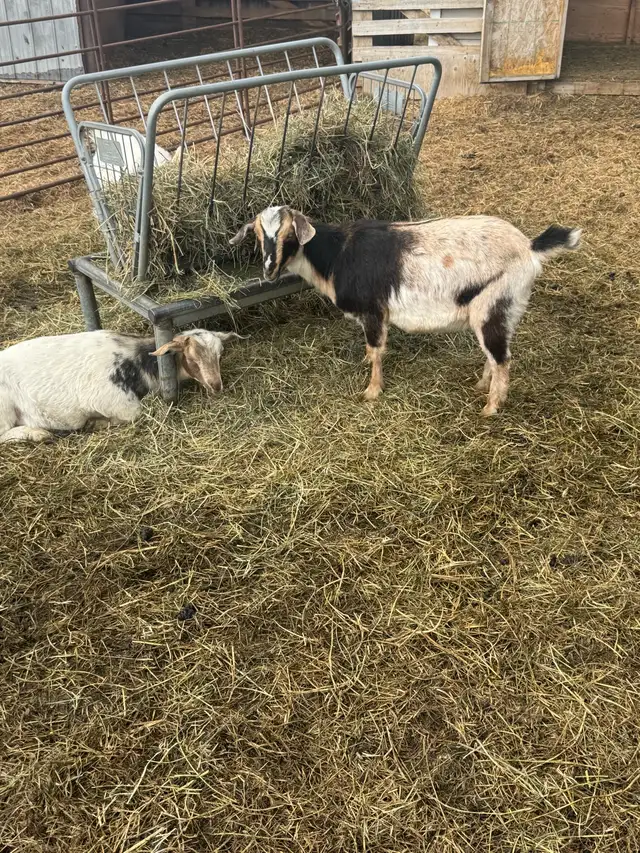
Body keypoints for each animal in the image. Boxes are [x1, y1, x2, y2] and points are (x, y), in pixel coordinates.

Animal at [0, 328, 241, 443]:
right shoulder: (118, 402)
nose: (216, 386)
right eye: (192, 358)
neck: (141, 361)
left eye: (220, 355)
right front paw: (94, 423)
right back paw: (37, 434)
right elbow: (133, 415)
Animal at [230, 207, 581, 415]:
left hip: (495, 304)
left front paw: (372, 391)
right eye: (259, 235)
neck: (338, 254)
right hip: (496, 312)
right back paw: (483, 386)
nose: (269, 269)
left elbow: (377, 350)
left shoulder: (374, 311)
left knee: (502, 359)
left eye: (289, 235)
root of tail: (529, 248)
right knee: (495, 355)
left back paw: (490, 407)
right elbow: (370, 350)